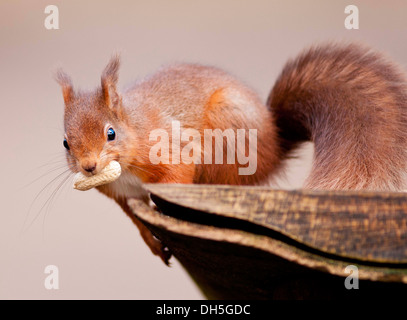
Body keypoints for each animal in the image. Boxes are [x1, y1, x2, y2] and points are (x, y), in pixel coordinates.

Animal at [56, 43, 407, 262]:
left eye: (111, 133)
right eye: (65, 143)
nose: (89, 167)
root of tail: (274, 146)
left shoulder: (173, 150)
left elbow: (177, 176)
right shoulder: (122, 194)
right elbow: (135, 218)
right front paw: (151, 241)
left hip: (228, 134)